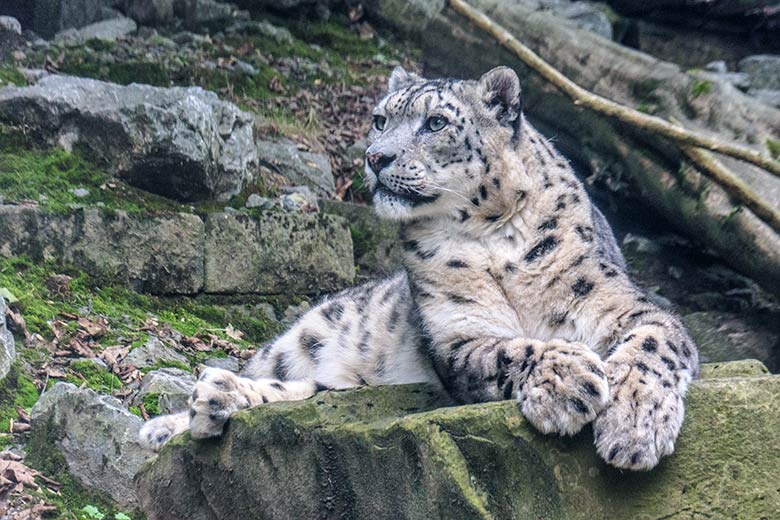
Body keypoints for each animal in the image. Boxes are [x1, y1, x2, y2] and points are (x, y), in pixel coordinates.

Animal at [140, 66, 700, 472]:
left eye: (436, 123)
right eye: (379, 120)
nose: (375, 157)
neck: (492, 237)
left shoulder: (621, 303)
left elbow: (655, 344)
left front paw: (634, 425)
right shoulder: (456, 335)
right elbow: (508, 350)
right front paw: (567, 377)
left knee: (316, 391)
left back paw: (216, 399)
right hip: (302, 339)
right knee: (286, 380)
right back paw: (193, 408)